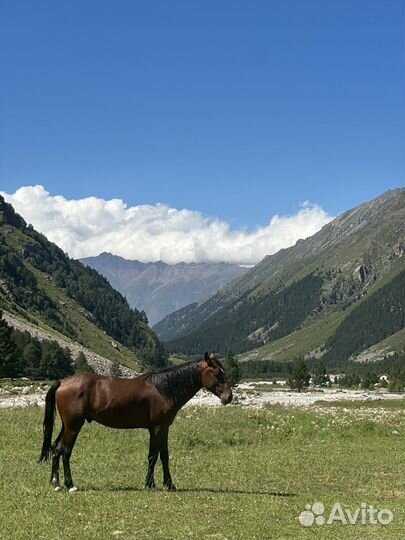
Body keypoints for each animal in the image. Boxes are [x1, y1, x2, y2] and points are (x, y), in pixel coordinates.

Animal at [39, 352, 232, 492]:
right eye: (216, 373)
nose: (228, 397)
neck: (163, 389)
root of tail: (63, 382)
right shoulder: (156, 428)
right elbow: (153, 455)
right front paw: (150, 484)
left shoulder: (164, 428)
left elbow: (164, 455)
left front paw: (169, 484)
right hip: (73, 426)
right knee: (65, 450)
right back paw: (70, 485)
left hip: (66, 426)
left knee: (56, 448)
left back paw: (56, 483)